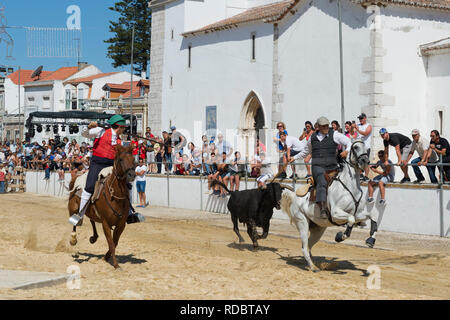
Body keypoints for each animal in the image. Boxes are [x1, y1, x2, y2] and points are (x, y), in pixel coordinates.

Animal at [282, 141, 376, 272]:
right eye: (355, 147)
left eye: (367, 149)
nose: (365, 161)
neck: (350, 187)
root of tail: (294, 196)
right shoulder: (336, 214)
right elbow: (351, 220)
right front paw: (340, 236)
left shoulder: (358, 213)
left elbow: (372, 216)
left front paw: (370, 240)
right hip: (302, 223)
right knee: (304, 247)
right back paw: (313, 267)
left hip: (318, 229)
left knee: (309, 246)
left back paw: (314, 264)